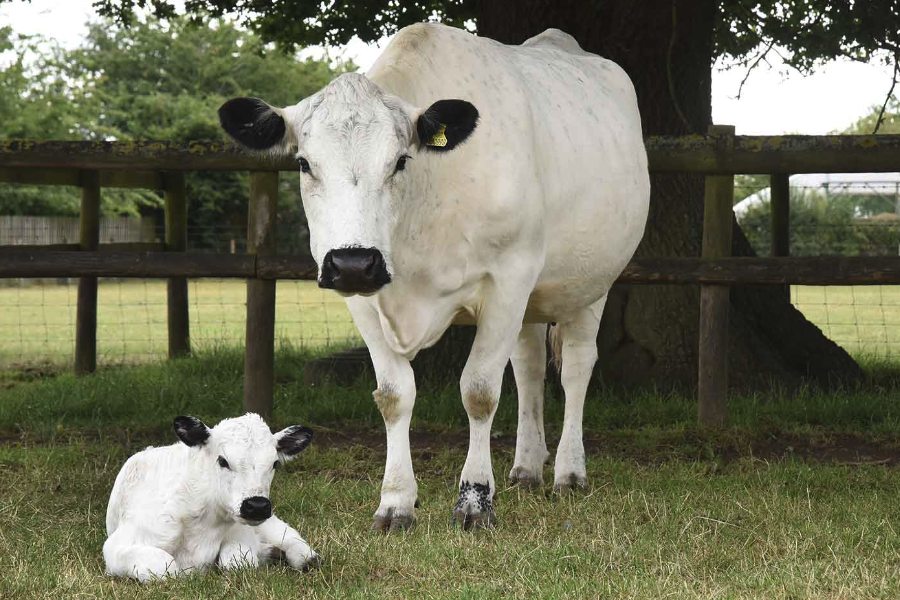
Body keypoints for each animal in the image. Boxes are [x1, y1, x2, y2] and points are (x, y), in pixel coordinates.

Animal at [104, 412, 320, 580]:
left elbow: (238, 562)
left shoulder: (242, 531)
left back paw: (306, 557)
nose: (257, 505)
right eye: (223, 461)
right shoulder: (117, 546)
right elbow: (166, 567)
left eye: (275, 463)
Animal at [221, 23, 652, 528]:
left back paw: (569, 471)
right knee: (528, 366)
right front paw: (395, 502)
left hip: (591, 283)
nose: (353, 262)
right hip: (532, 299)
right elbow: (394, 395)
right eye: (305, 163)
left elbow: (480, 391)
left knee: (578, 367)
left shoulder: (509, 277)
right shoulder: (364, 299)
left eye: (400, 161)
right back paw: (527, 467)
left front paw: (474, 500)